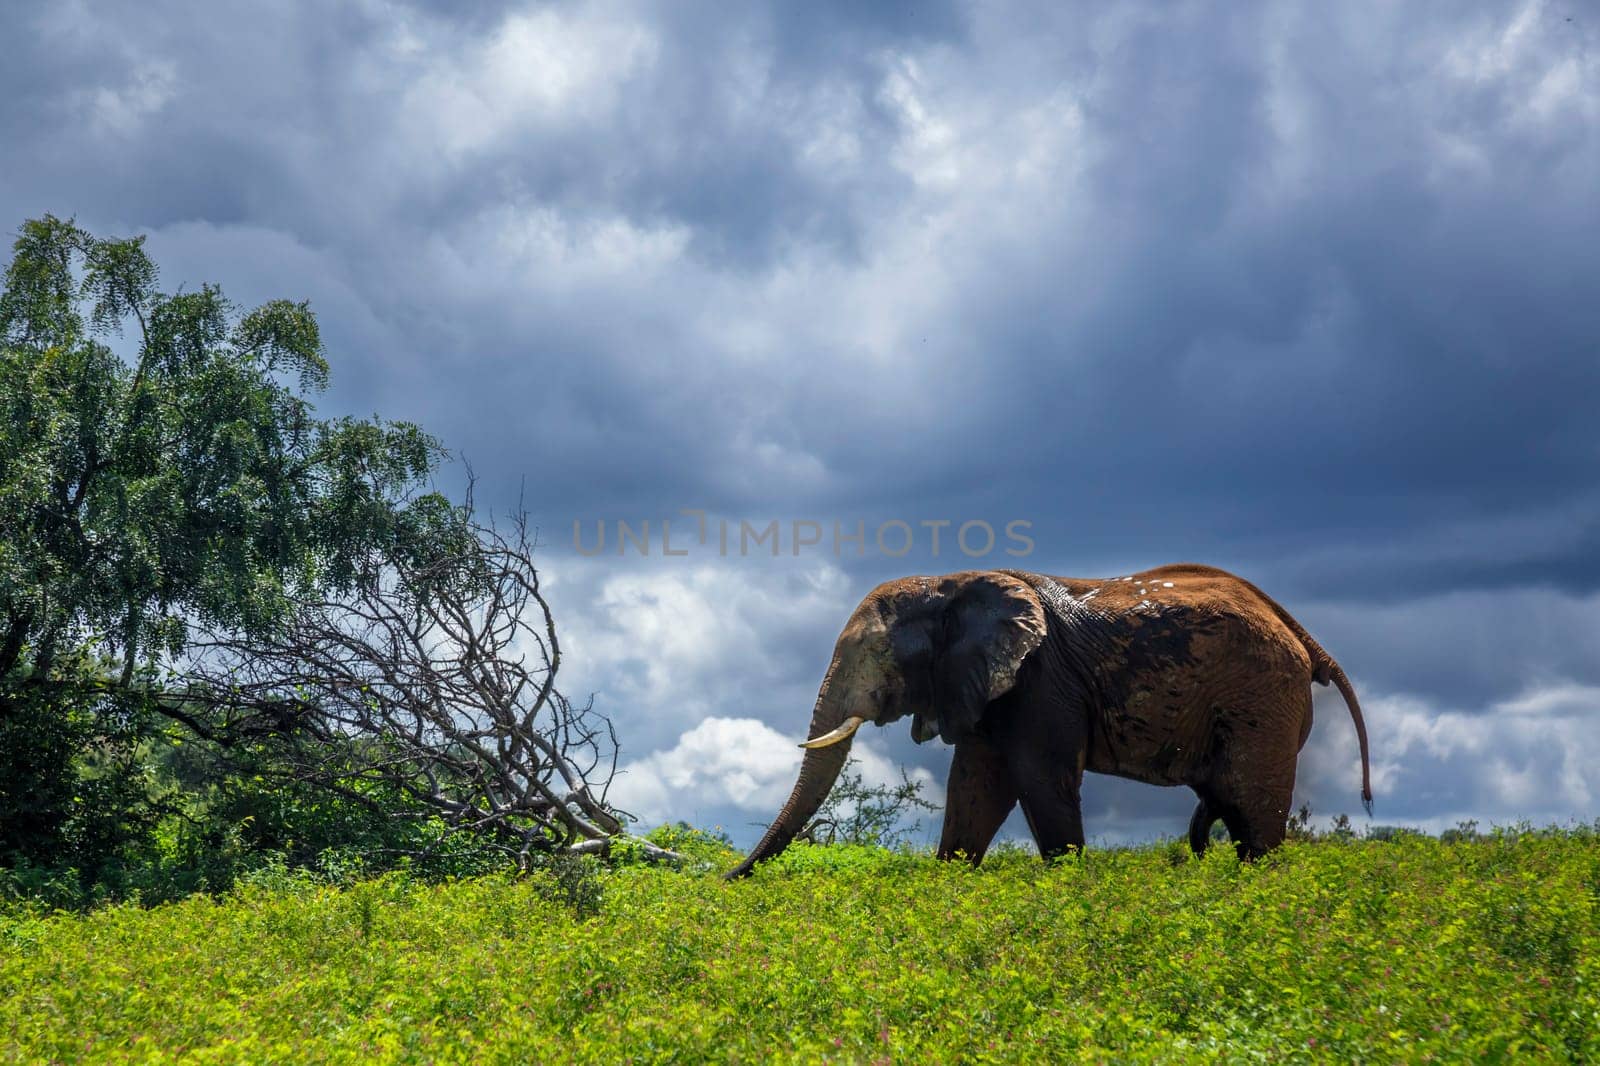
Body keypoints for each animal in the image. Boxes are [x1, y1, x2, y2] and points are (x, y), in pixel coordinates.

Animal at [732, 560, 1369, 877]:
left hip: (1263, 699)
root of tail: (1307, 641)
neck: (949, 584)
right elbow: (974, 786)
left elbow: (1039, 779)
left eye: (875, 655)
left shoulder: (1042, 682)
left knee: (1254, 814)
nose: (726, 879)